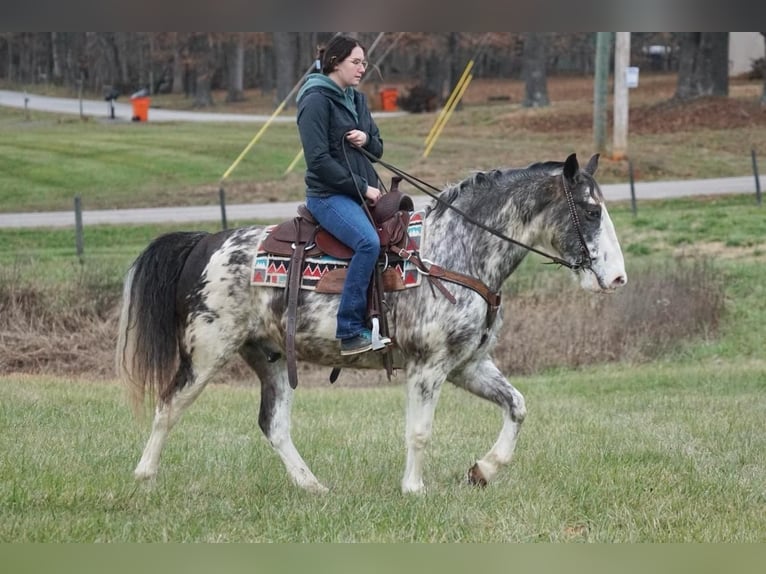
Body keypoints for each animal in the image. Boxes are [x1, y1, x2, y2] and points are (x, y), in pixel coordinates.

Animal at [117, 153, 628, 496]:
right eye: (591, 210)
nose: (618, 278)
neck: (453, 251)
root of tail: (205, 242)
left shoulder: (468, 366)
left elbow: (517, 406)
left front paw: (483, 469)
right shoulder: (427, 367)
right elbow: (419, 431)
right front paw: (414, 489)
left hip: (271, 358)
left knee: (273, 425)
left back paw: (313, 487)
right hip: (206, 353)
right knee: (169, 405)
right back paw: (143, 477)